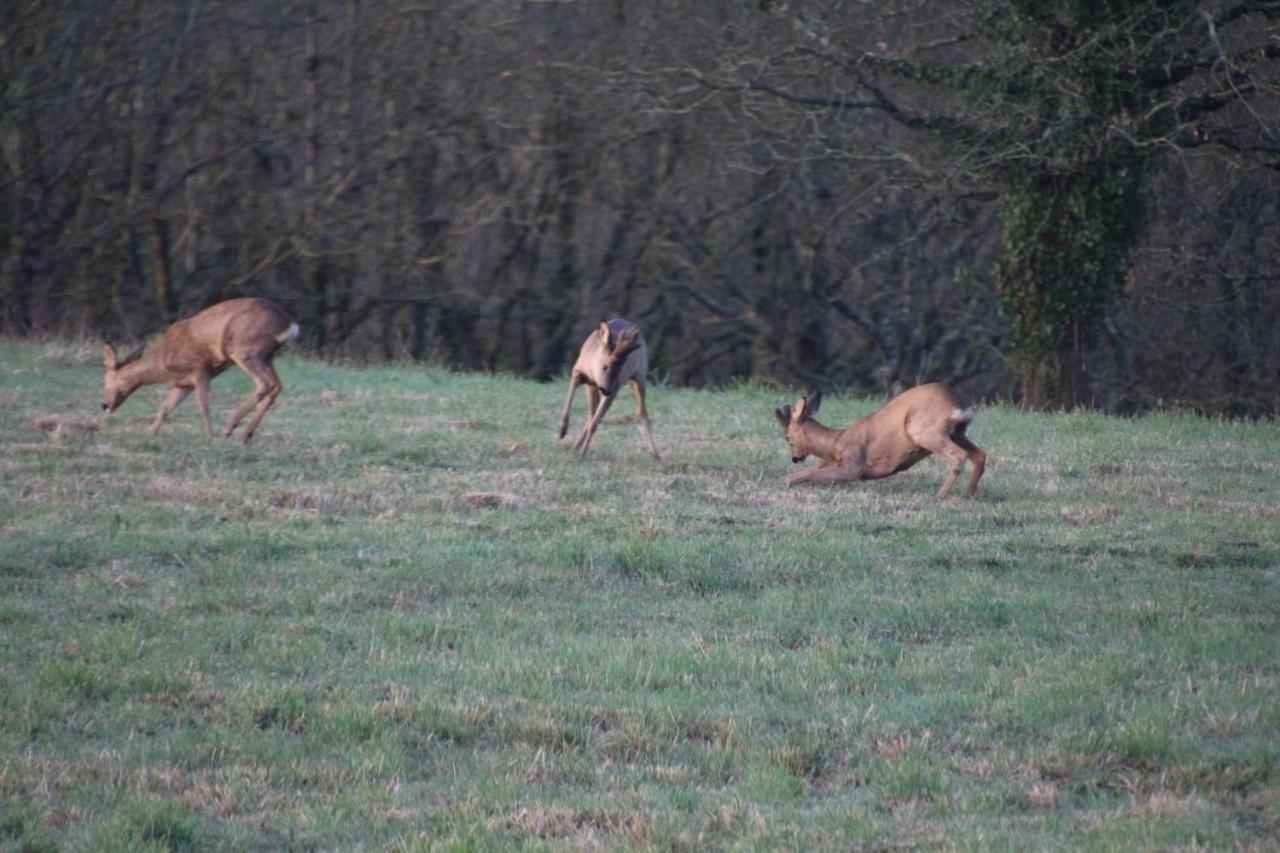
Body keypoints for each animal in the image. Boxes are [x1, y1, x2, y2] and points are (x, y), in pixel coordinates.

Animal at [101, 297, 298, 445]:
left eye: (104, 381)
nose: (104, 405)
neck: (164, 363)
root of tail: (290, 325)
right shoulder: (183, 384)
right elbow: (166, 407)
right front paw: (150, 433)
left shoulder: (200, 369)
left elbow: (203, 405)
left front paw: (211, 437)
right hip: (266, 356)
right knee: (277, 386)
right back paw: (245, 435)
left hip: (245, 350)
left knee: (265, 384)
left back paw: (230, 426)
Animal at [558, 315, 660, 455]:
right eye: (605, 366)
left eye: (621, 368)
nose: (606, 390)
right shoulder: (577, 371)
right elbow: (569, 400)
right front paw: (562, 431)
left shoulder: (614, 388)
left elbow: (595, 423)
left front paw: (583, 453)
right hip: (592, 388)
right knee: (591, 415)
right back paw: (574, 448)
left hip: (640, 375)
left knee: (641, 412)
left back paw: (656, 454)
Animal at [768, 381, 988, 494]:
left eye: (787, 437)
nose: (794, 458)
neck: (835, 442)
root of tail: (961, 404)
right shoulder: (834, 460)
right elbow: (811, 469)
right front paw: (782, 479)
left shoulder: (854, 463)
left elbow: (812, 474)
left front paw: (788, 481)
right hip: (958, 431)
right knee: (980, 454)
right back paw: (967, 495)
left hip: (924, 430)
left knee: (959, 456)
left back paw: (940, 496)